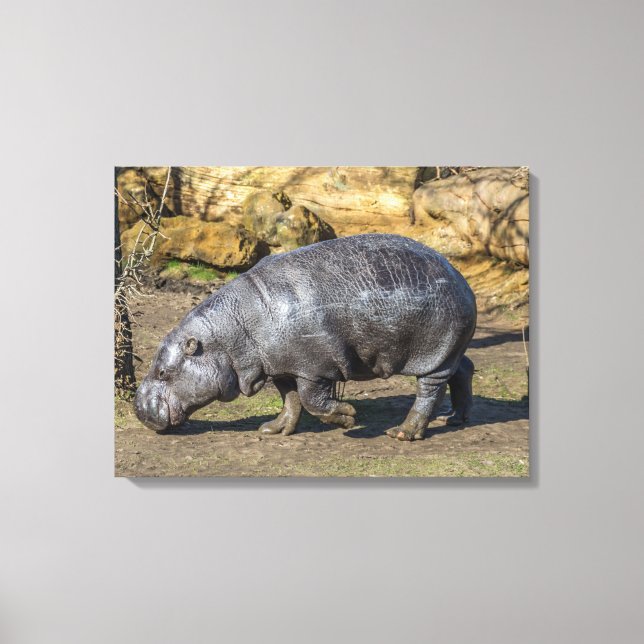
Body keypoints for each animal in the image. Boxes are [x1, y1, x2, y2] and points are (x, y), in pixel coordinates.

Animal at [134, 233, 477, 441]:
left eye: (163, 372)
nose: (138, 409)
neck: (232, 331)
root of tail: (461, 278)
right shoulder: (281, 366)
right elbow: (290, 400)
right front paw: (273, 429)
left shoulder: (315, 368)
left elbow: (312, 401)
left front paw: (350, 418)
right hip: (449, 350)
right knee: (463, 370)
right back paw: (454, 419)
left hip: (432, 352)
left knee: (430, 390)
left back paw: (402, 433)